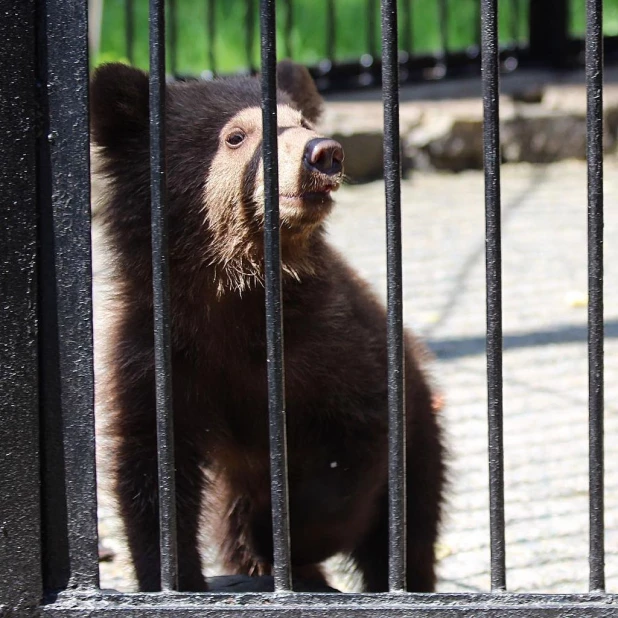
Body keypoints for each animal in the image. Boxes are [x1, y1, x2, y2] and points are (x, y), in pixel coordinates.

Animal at [89, 59, 440, 592]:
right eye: (236, 135)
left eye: (303, 122)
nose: (324, 153)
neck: (232, 292)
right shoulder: (156, 356)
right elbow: (150, 471)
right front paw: (174, 575)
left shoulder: (327, 344)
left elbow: (357, 441)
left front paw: (277, 537)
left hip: (422, 436)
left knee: (410, 528)